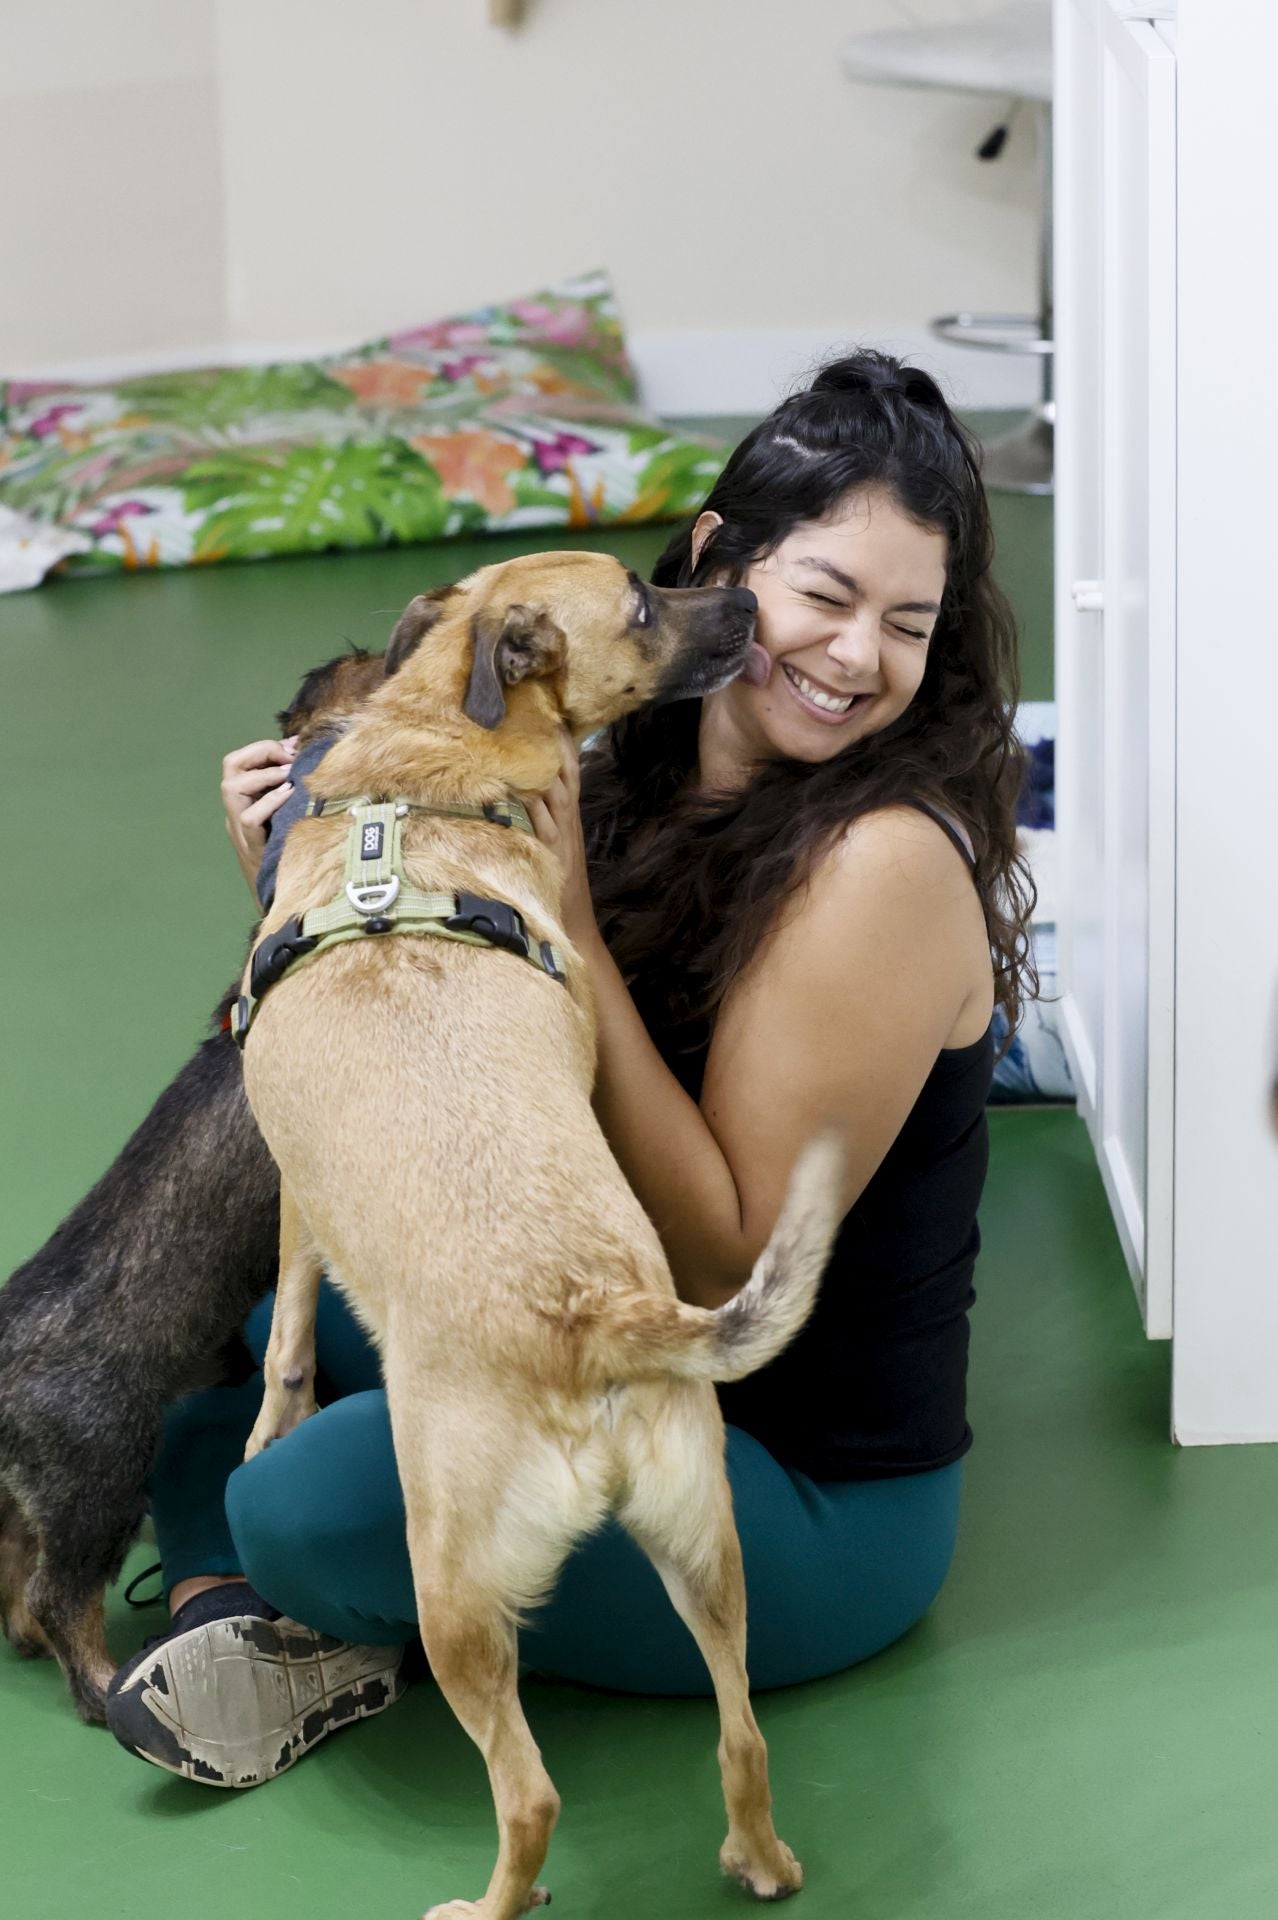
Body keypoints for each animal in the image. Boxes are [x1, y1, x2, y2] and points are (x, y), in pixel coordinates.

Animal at [238, 552, 840, 1920]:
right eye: (647, 603)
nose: (747, 603)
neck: (427, 759)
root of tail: (594, 1317)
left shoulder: (292, 1185)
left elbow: (285, 1335)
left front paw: (267, 1422)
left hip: (454, 1593)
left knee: (531, 1797)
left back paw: (486, 1903)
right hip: (707, 1542)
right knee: (742, 1736)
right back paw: (764, 1860)